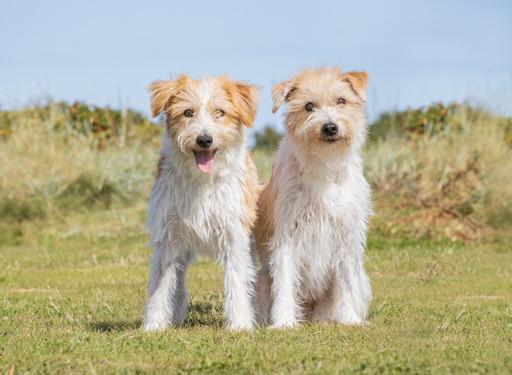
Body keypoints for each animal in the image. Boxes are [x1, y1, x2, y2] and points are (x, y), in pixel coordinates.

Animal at [143, 74, 260, 332]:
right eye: (188, 112)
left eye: (220, 112)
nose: (204, 139)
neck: (202, 179)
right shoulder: (168, 236)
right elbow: (161, 285)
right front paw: (154, 324)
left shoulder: (233, 235)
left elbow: (237, 281)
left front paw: (239, 324)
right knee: (178, 282)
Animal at [256, 67, 372, 328]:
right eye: (309, 106)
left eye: (341, 101)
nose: (329, 127)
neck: (324, 164)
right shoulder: (286, 235)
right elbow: (285, 281)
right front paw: (284, 322)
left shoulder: (346, 235)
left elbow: (346, 282)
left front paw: (350, 319)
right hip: (261, 281)